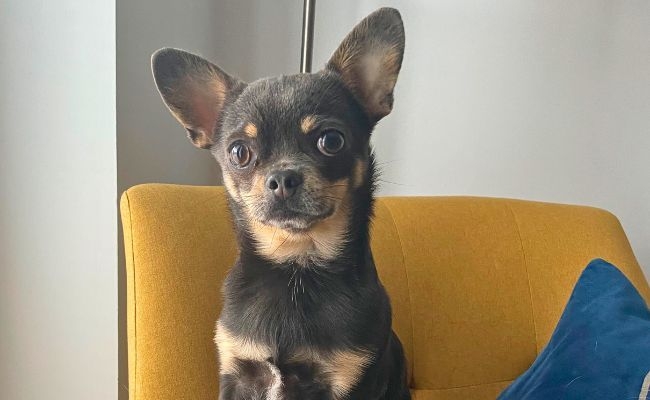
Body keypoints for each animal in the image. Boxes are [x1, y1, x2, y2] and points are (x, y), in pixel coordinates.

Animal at [151, 7, 410, 400]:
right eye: (239, 152)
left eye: (331, 141)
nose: (283, 179)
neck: (295, 266)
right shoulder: (237, 375)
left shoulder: (348, 381)